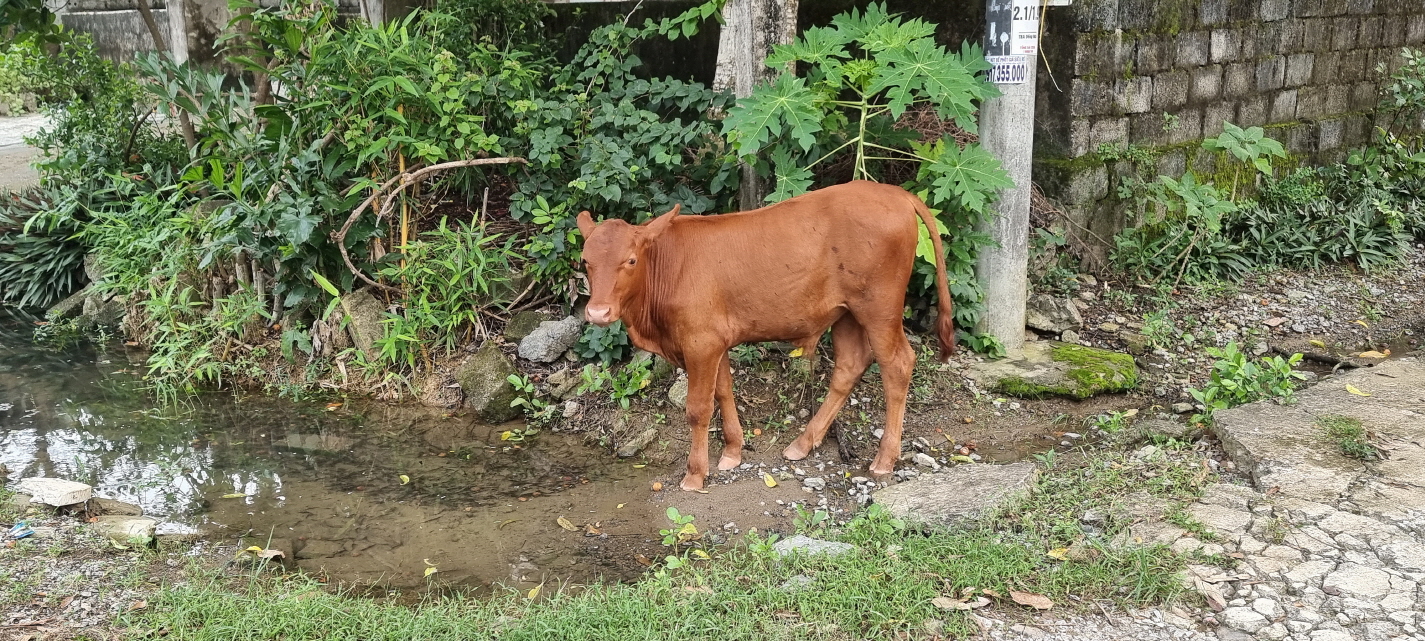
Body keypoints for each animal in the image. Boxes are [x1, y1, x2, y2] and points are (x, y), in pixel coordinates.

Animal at [575, 180, 957, 490]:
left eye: (631, 260)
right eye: (585, 261)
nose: (598, 312)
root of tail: (894, 193)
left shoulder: (700, 342)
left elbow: (698, 408)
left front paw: (695, 474)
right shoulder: (716, 340)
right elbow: (724, 391)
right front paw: (733, 451)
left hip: (880, 308)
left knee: (898, 365)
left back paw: (884, 460)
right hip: (847, 312)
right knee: (850, 365)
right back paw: (804, 443)